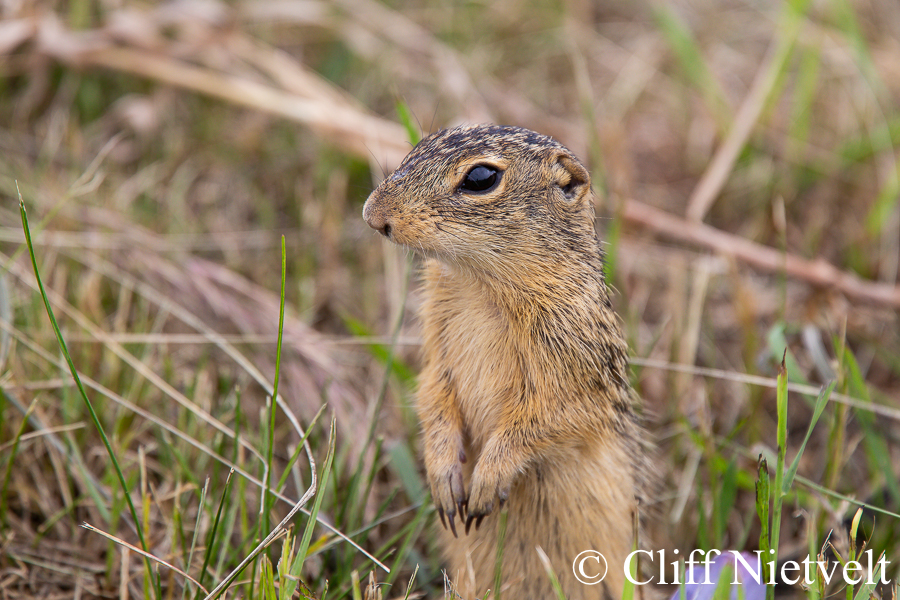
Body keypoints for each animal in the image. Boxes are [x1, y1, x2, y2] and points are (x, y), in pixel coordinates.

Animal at [363, 124, 653, 599]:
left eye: (481, 178)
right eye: (423, 142)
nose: (373, 214)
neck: (478, 283)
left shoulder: (573, 370)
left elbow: (546, 421)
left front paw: (486, 482)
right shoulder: (436, 349)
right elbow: (433, 394)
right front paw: (443, 474)